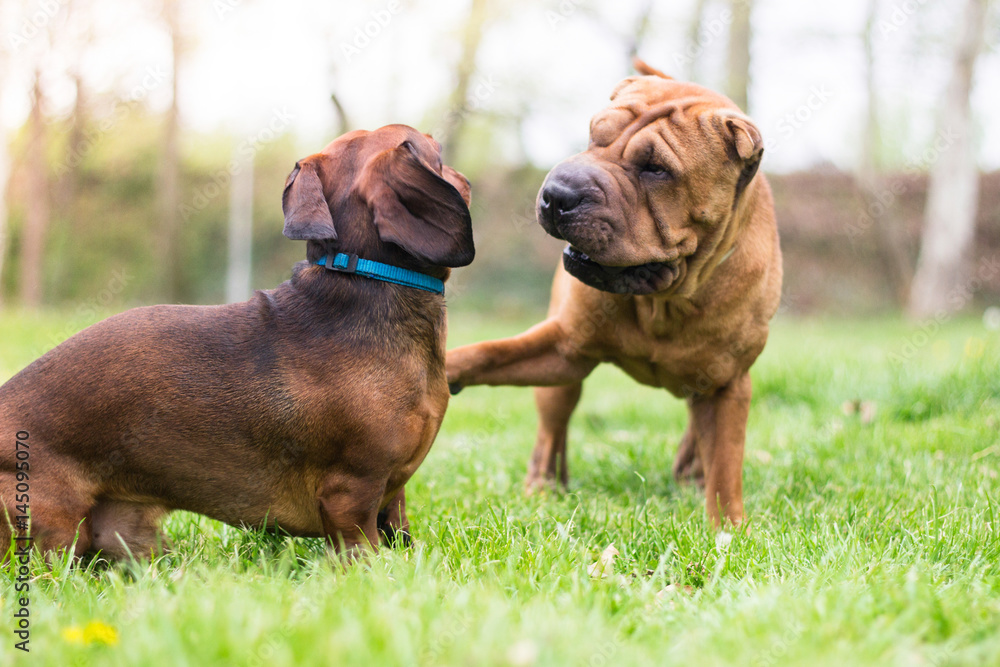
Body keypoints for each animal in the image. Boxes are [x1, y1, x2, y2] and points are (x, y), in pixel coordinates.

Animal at [0, 124, 476, 560]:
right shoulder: (352, 491)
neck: (366, 279)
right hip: (53, 525)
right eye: (437, 150)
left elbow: (400, 528)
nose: (463, 175)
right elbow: (363, 549)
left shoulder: (392, 493)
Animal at [446, 61, 780, 528]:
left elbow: (726, 466)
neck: (666, 302)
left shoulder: (727, 386)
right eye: (593, 136)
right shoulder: (563, 349)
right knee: (552, 431)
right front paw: (440, 369)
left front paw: (727, 529)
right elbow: (486, 353)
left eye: (656, 168)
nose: (557, 193)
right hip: (559, 383)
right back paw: (544, 488)